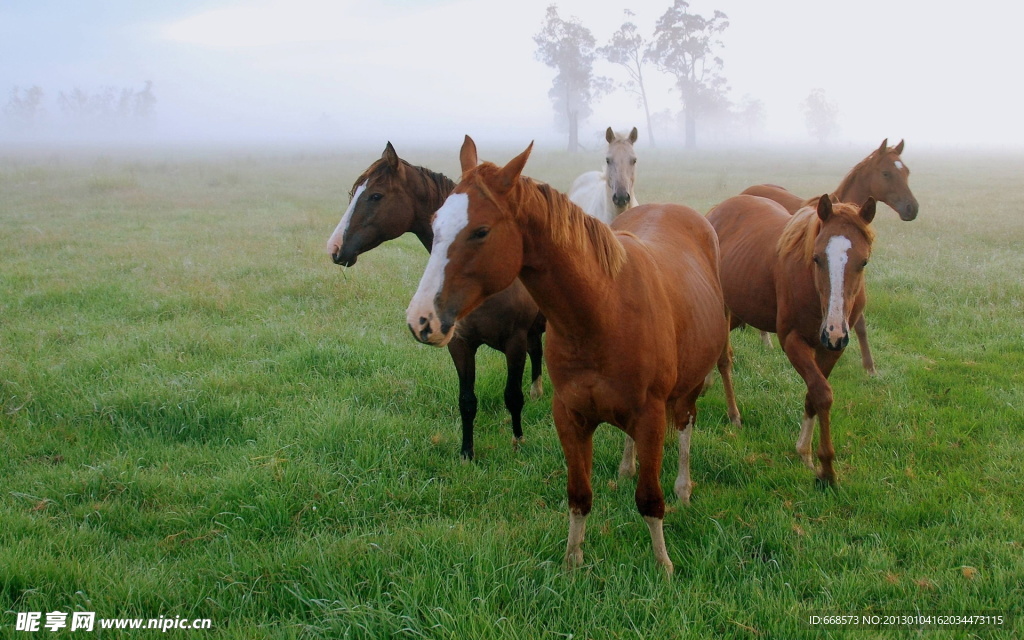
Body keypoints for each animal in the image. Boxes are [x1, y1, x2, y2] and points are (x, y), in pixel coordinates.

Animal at [329, 139, 552, 458]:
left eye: (375, 195)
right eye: (353, 194)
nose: (335, 248)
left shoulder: (514, 342)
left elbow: (512, 396)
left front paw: (518, 441)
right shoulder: (460, 344)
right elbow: (467, 401)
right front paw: (466, 453)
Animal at [405, 136, 729, 573]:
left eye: (481, 231)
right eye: (435, 223)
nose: (421, 319)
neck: (603, 310)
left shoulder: (650, 415)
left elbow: (649, 499)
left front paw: (663, 566)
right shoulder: (570, 416)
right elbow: (579, 495)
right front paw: (573, 562)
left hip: (689, 387)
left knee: (685, 427)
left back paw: (683, 486)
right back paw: (627, 467)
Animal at [708, 194, 876, 483]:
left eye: (863, 261)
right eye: (817, 258)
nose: (833, 331)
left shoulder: (831, 349)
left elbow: (814, 394)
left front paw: (805, 453)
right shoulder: (792, 341)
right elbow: (822, 393)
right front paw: (826, 469)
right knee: (723, 360)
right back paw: (733, 415)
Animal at [741, 136, 917, 372]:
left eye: (906, 171)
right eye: (886, 173)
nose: (912, 208)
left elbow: (859, 323)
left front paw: (870, 367)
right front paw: (869, 366)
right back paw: (765, 340)